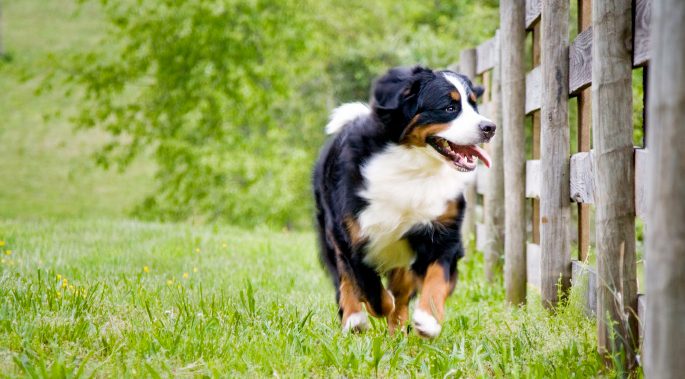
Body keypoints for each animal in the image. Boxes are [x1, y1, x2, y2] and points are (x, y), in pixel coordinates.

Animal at [312, 65, 494, 338]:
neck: (414, 168)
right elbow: (370, 289)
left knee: (402, 287)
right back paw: (354, 319)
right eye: (450, 107)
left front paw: (429, 319)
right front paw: (375, 308)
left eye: (474, 105)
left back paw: (396, 329)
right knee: (344, 278)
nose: (490, 127)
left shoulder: (443, 232)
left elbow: (437, 276)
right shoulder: (353, 236)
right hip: (331, 234)